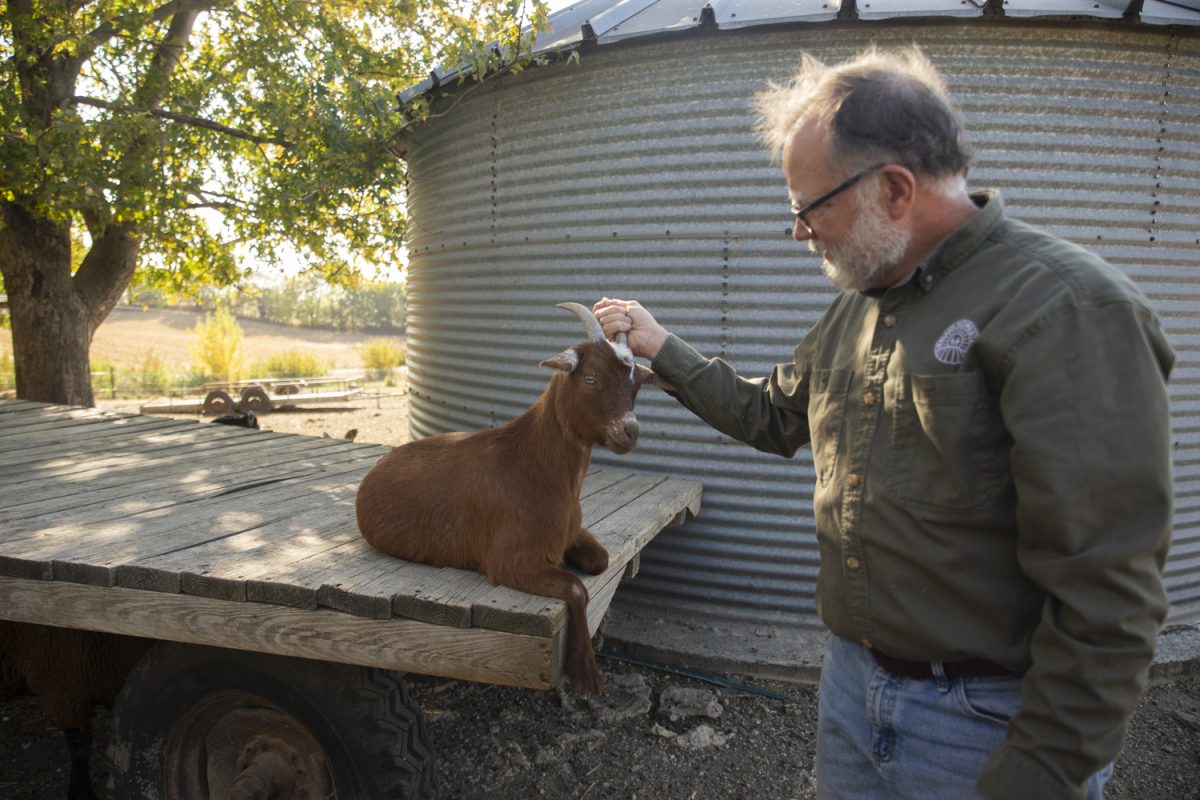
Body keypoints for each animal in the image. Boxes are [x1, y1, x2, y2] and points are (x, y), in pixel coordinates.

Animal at [355, 303, 667, 695]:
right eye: (590, 378)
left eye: (636, 383)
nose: (630, 431)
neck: (532, 464)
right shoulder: (512, 561)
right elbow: (577, 588)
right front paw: (585, 672)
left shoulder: (569, 535)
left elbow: (600, 560)